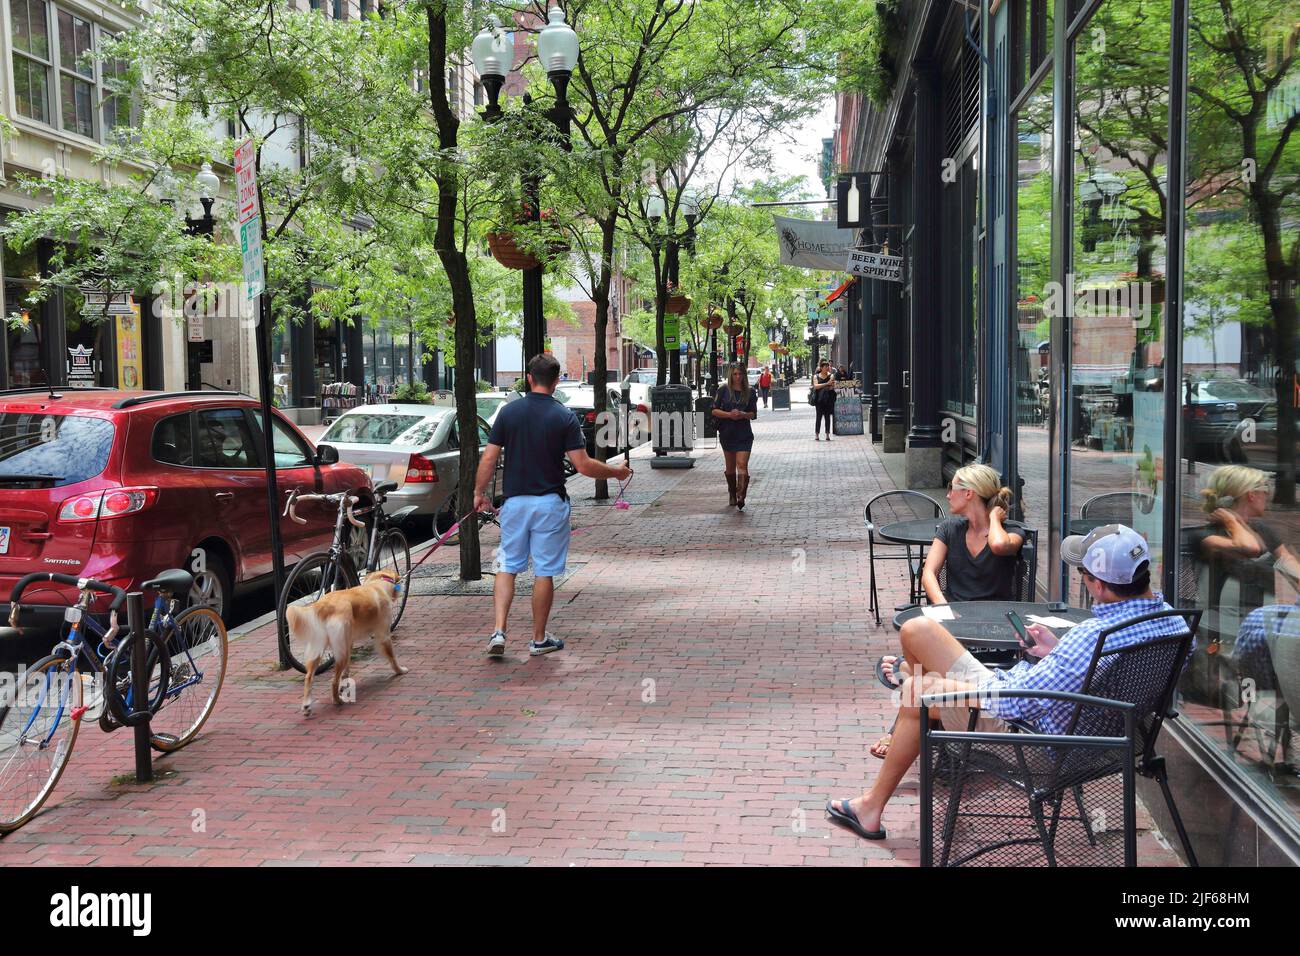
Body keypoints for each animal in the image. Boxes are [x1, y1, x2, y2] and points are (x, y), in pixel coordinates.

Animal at [288, 567, 405, 712]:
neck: (378, 583)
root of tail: (323, 605)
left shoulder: (349, 642)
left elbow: (347, 668)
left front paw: (345, 681)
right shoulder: (383, 635)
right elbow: (392, 657)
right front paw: (400, 670)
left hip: (321, 649)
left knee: (309, 677)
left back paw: (307, 704)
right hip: (340, 652)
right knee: (333, 681)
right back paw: (337, 700)